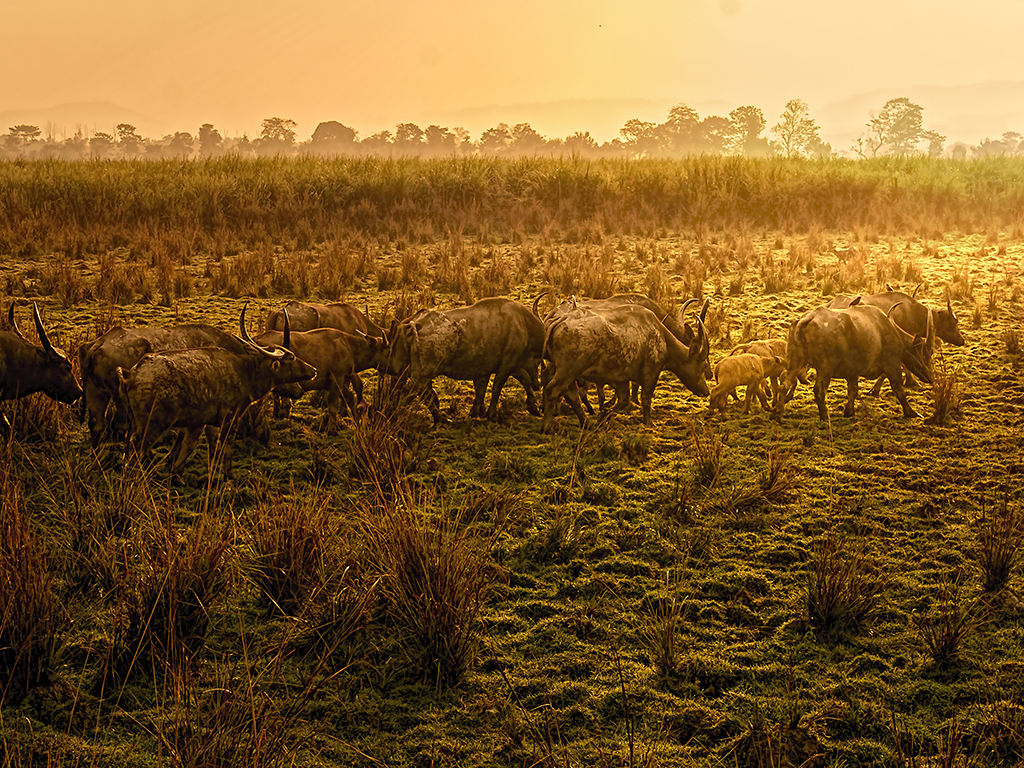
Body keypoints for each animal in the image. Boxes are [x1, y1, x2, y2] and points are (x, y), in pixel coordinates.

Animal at [117, 309, 315, 481]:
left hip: (133, 422)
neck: (245, 372)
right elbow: (226, 448)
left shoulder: (198, 422)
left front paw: (177, 474)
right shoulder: (231, 418)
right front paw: (229, 476)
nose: (313, 370)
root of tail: (130, 374)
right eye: (291, 357)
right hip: (153, 424)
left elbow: (189, 446)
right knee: (137, 448)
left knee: (129, 446)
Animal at [374, 296, 548, 428]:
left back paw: (440, 419)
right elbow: (499, 387)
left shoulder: (488, 369)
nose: (538, 384)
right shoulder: (507, 364)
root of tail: (414, 323)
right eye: (539, 360)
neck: (522, 324)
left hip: (404, 373)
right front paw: (491, 414)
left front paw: (478, 412)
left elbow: (484, 389)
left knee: (409, 393)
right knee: (411, 395)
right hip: (422, 376)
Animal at [540, 303, 708, 434]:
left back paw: (587, 423)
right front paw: (648, 423)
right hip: (568, 370)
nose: (706, 391)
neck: (660, 336)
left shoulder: (621, 380)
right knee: (552, 390)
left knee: (566, 391)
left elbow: (623, 401)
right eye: (702, 365)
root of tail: (562, 319)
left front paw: (603, 416)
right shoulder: (651, 374)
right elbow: (645, 400)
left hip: (559, 369)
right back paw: (547, 426)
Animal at [778, 303, 933, 421]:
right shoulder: (892, 365)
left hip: (794, 362)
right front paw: (911, 412)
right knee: (819, 390)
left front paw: (849, 411)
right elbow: (899, 389)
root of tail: (808, 318)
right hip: (825, 368)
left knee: (785, 383)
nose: (929, 377)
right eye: (925, 353)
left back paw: (777, 413)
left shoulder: (852, 372)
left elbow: (853, 390)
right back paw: (825, 416)